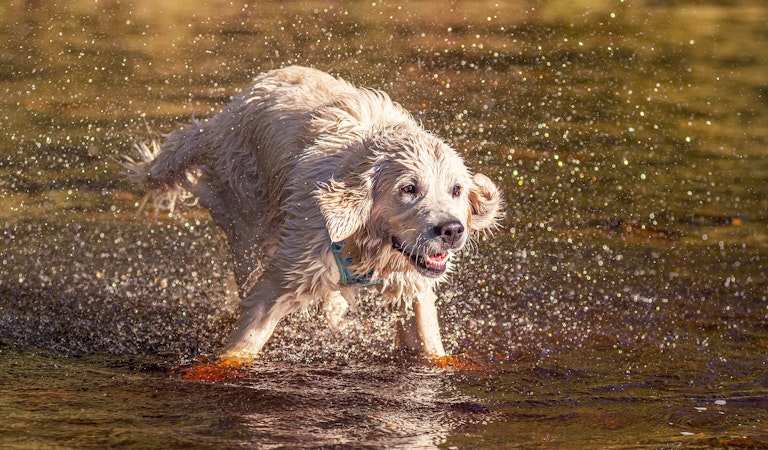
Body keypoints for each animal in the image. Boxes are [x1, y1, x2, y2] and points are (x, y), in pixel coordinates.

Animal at [124, 66, 504, 362]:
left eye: (456, 189)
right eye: (409, 189)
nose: (452, 229)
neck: (363, 243)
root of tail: (221, 119)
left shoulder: (411, 285)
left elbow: (429, 345)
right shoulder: (287, 276)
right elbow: (242, 346)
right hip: (247, 222)